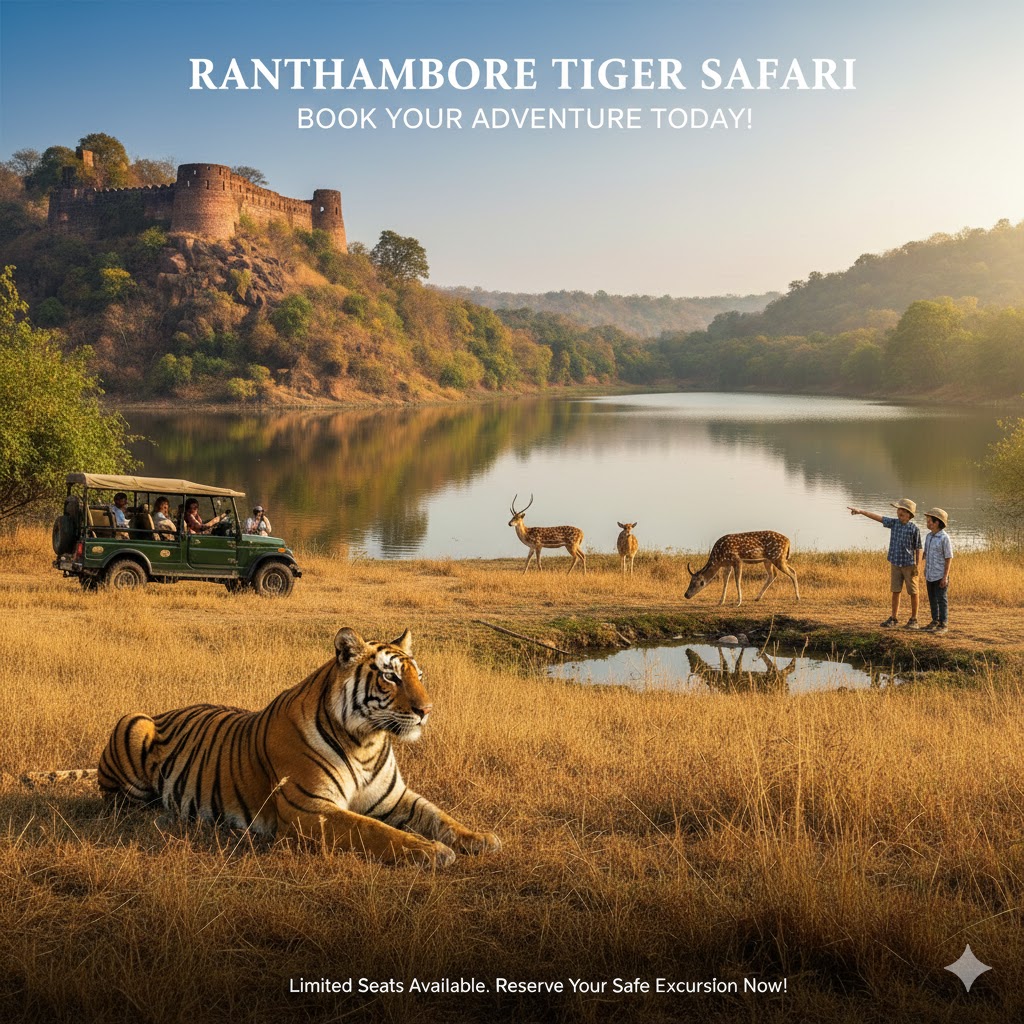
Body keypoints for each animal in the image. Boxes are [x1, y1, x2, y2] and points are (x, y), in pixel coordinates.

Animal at [94, 627, 499, 868]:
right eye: (390, 677)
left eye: (419, 675)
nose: (426, 711)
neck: (365, 742)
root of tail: (164, 711)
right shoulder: (310, 809)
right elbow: (375, 831)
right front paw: (434, 852)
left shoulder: (395, 798)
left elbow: (440, 817)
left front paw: (481, 838)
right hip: (133, 722)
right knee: (120, 802)